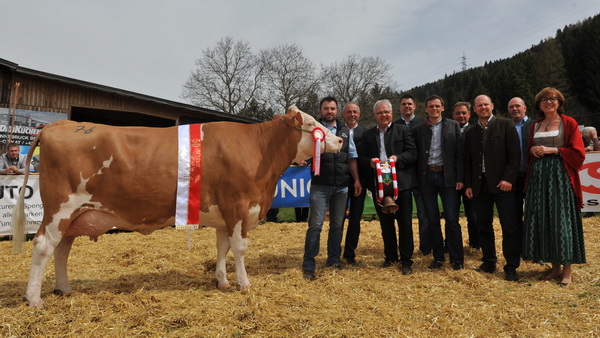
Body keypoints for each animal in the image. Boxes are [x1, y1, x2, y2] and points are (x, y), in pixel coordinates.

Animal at [12, 107, 342, 308]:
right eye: (313, 125)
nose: (339, 140)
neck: (260, 150)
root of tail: (59, 124)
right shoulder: (237, 205)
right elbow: (239, 248)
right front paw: (244, 284)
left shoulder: (223, 212)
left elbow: (222, 247)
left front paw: (222, 281)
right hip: (60, 210)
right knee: (43, 246)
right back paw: (33, 298)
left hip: (74, 215)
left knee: (62, 249)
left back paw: (64, 288)